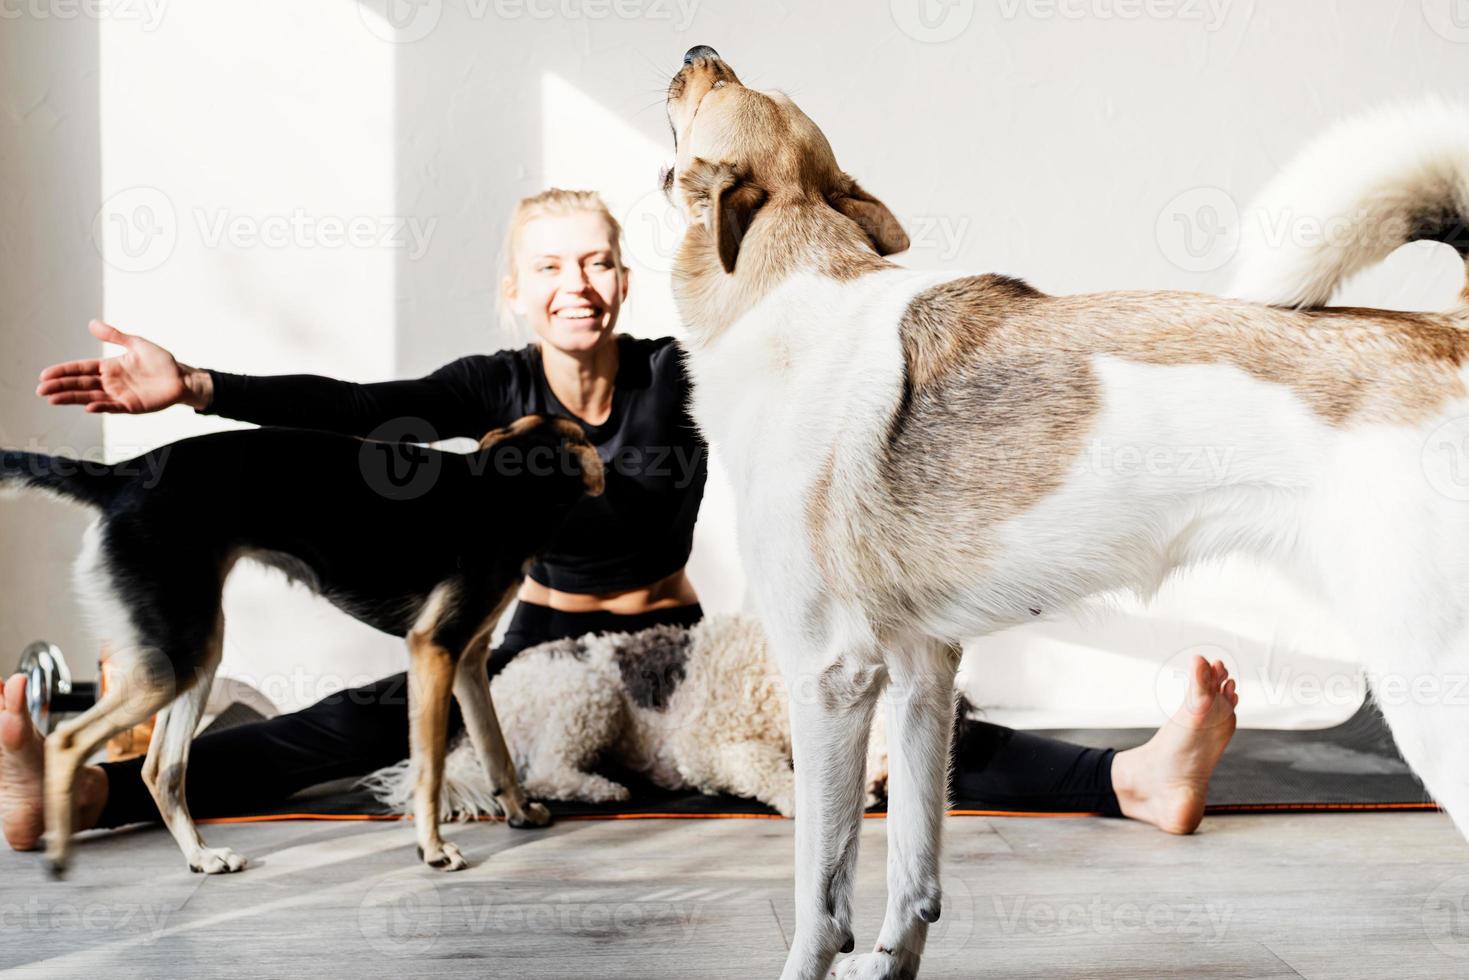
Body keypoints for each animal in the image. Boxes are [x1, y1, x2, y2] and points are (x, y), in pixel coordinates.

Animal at [1, 414, 602, 875]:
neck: (503, 489)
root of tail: (118, 475)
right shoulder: (433, 650)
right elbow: (430, 767)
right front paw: (431, 849)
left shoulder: (468, 660)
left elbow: (495, 747)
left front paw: (519, 810)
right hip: (180, 654)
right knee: (67, 741)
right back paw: (58, 852)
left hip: (194, 655)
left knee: (160, 770)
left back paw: (201, 857)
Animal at [663, 47, 1469, 980]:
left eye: (717, 90)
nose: (695, 52)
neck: (788, 283)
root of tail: (1452, 332)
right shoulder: (921, 673)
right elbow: (911, 869)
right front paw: (892, 962)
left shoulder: (830, 677)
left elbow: (818, 899)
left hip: (1429, 687)